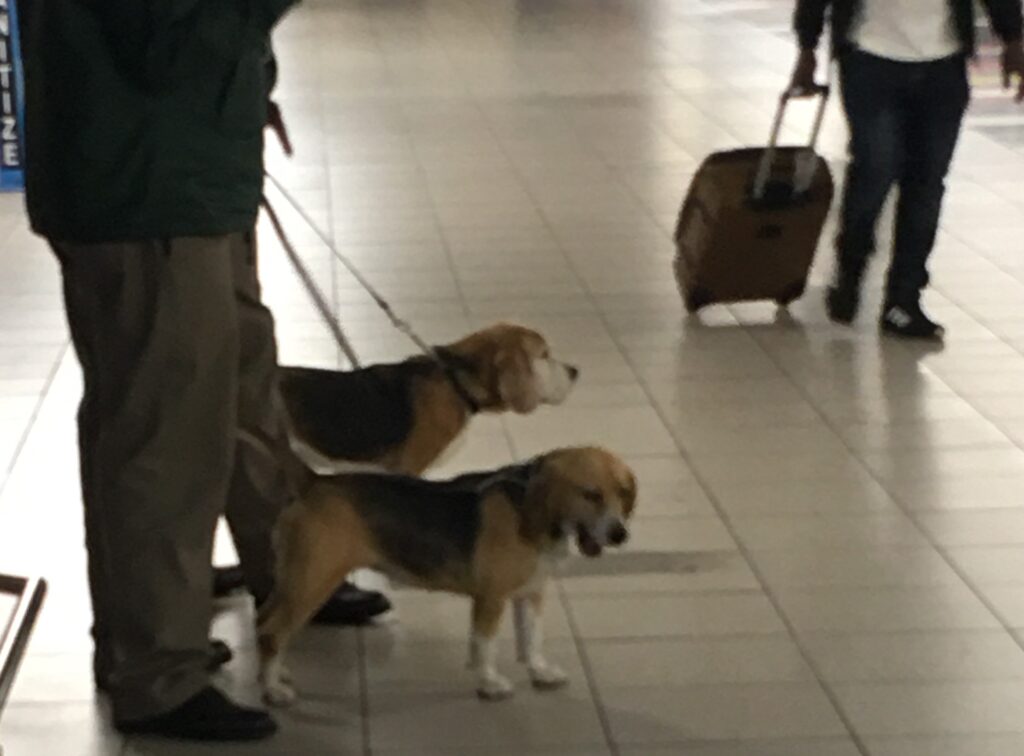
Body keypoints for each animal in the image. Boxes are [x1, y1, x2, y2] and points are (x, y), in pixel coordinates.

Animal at [258, 444, 630, 704]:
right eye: (591, 494)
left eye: (624, 492)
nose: (620, 535)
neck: (528, 509)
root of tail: (314, 482)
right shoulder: (491, 599)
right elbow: (485, 645)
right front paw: (490, 683)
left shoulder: (531, 592)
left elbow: (532, 639)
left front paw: (540, 672)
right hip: (311, 583)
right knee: (274, 631)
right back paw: (272, 690)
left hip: (293, 580)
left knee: (264, 624)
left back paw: (275, 674)